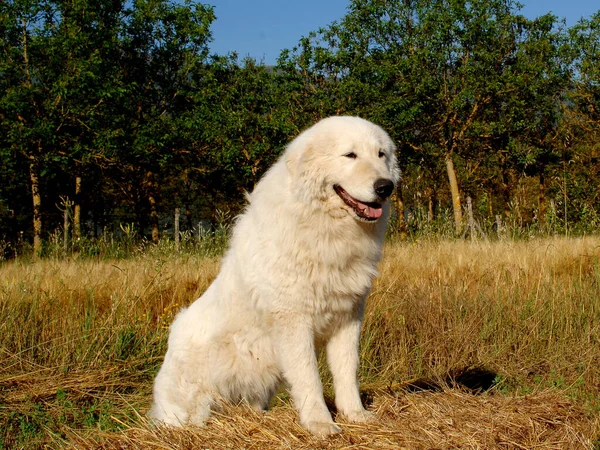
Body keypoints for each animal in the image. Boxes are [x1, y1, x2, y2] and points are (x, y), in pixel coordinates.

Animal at [149, 115, 398, 436]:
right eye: (350, 155)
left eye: (381, 155)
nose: (385, 187)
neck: (322, 228)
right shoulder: (293, 321)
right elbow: (310, 378)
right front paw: (320, 423)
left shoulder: (348, 316)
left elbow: (347, 370)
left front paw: (355, 414)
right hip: (195, 402)